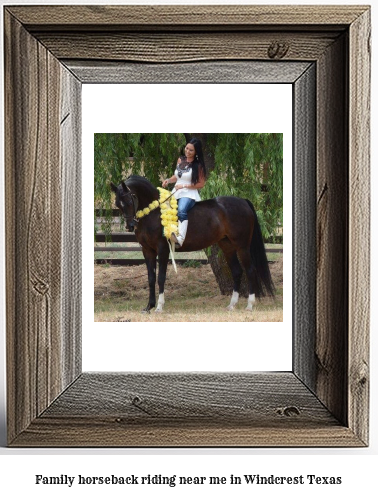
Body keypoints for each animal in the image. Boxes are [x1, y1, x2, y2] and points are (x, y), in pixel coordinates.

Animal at [110, 176, 274, 312]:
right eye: (118, 204)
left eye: (129, 201)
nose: (130, 226)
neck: (153, 212)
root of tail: (243, 201)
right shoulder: (147, 250)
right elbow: (151, 278)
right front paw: (148, 307)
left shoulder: (163, 249)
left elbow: (161, 277)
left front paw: (159, 306)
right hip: (227, 247)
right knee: (237, 271)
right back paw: (232, 305)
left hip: (242, 247)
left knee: (250, 270)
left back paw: (250, 305)